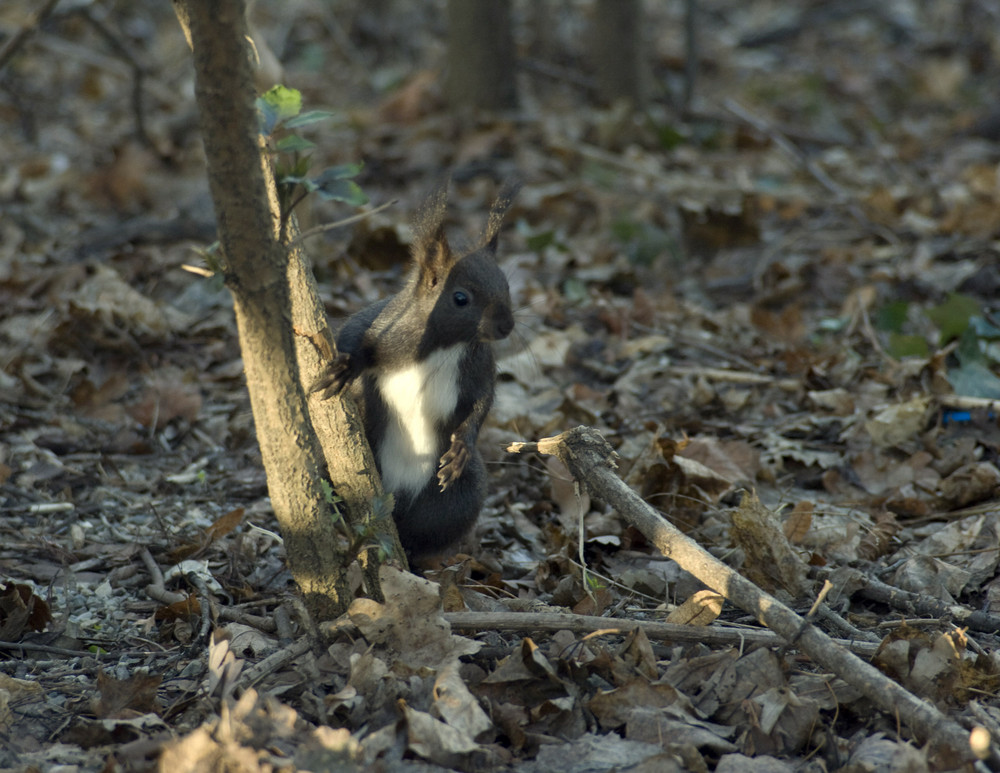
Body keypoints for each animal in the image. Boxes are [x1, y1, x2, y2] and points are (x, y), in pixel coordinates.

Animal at [310, 180, 516, 556]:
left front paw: (462, 446)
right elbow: (352, 334)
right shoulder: (384, 323)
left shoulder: (478, 367)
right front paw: (345, 368)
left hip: (458, 498)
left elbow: (481, 403)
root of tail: (397, 500)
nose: (506, 326)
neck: (446, 345)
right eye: (460, 298)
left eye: (506, 286)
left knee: (424, 532)